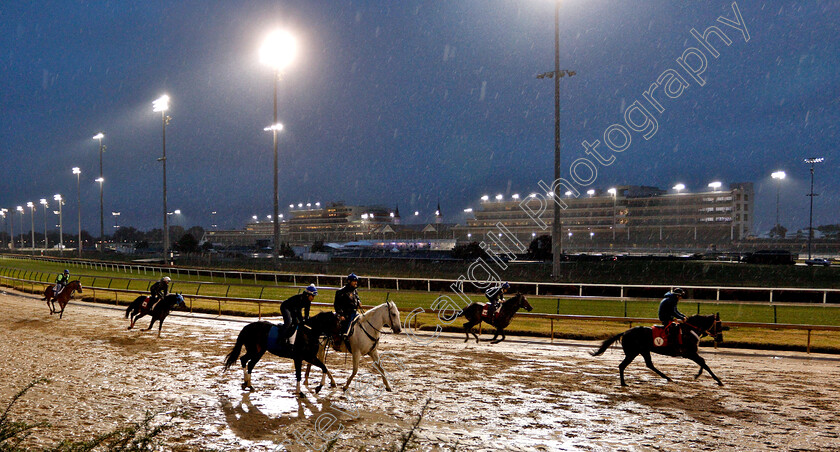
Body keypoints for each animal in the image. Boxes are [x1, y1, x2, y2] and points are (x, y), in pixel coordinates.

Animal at [592, 314, 720, 384]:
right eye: (718, 324)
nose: (719, 338)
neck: (688, 330)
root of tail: (625, 332)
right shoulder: (689, 353)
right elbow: (703, 363)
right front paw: (717, 380)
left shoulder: (692, 353)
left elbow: (703, 362)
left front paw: (700, 375)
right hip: (632, 352)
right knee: (622, 366)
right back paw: (623, 383)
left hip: (643, 351)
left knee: (649, 364)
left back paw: (667, 377)